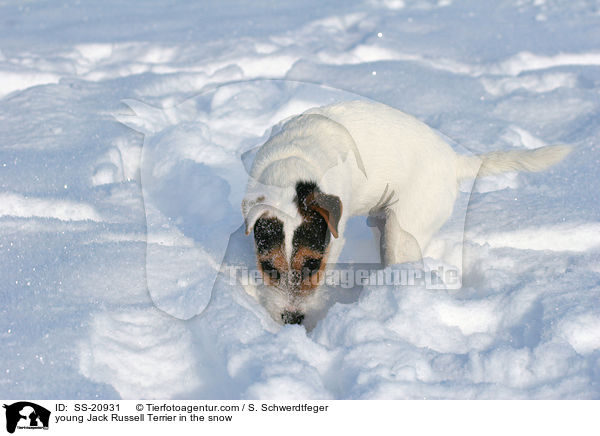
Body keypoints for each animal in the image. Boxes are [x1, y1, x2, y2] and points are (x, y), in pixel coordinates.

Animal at [240, 100, 572, 326]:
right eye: (268, 266)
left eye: (312, 264)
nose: (292, 319)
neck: (292, 171)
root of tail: (455, 161)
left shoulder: (333, 242)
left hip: (402, 233)